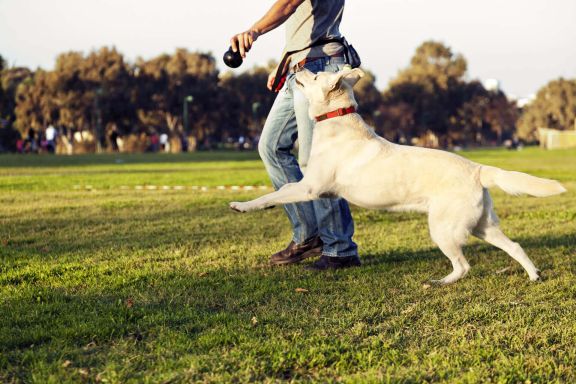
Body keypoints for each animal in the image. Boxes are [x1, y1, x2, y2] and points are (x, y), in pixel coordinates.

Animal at [230, 67, 564, 284]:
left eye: (314, 76)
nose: (296, 67)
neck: (337, 122)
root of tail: (478, 169)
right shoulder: (316, 190)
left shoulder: (310, 187)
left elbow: (276, 192)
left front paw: (242, 206)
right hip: (483, 226)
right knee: (514, 246)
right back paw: (534, 275)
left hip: (443, 229)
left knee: (463, 265)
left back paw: (441, 282)